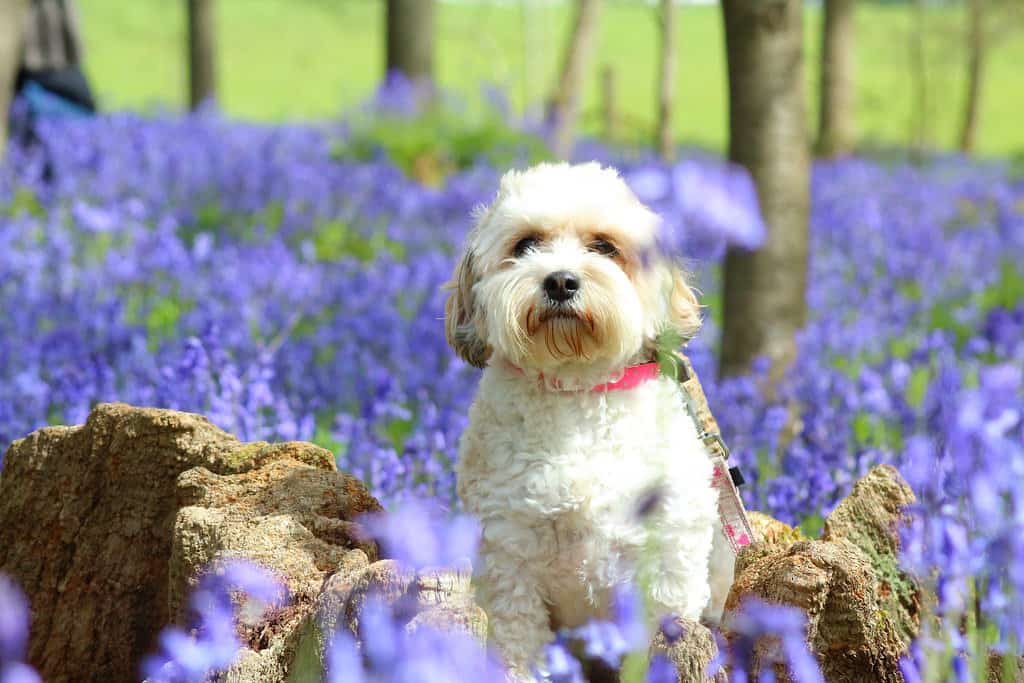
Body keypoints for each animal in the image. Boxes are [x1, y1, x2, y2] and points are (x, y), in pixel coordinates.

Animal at [444, 161, 733, 679]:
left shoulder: (666, 558)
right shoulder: (509, 557)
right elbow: (519, 640)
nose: (560, 281)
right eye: (525, 245)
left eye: (604, 246)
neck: (577, 387)